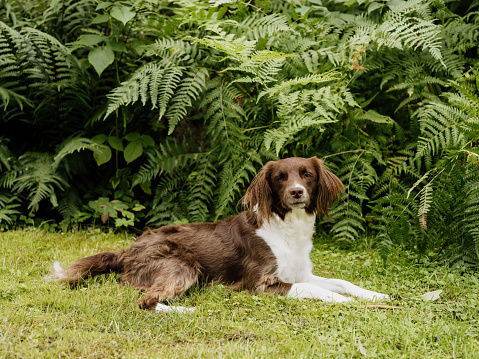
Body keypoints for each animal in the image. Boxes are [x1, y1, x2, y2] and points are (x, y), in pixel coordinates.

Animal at [54, 158, 388, 312]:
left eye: (307, 175)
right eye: (280, 178)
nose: (296, 192)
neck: (287, 228)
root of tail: (125, 251)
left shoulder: (301, 272)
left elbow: (341, 282)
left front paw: (375, 295)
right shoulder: (261, 285)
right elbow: (318, 290)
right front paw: (346, 302)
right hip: (182, 264)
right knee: (146, 300)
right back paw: (188, 309)